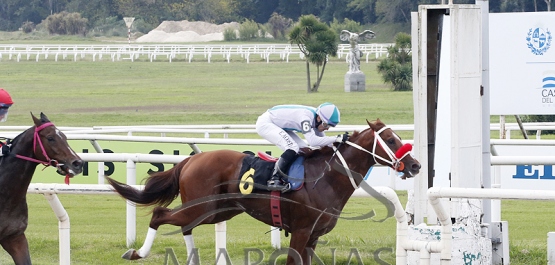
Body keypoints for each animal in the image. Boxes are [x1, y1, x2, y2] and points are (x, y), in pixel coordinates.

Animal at [107, 118, 422, 262]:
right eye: (391, 140)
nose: (416, 165)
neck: (327, 177)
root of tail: (191, 159)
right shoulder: (302, 231)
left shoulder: (314, 237)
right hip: (202, 206)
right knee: (160, 214)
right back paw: (136, 253)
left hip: (217, 211)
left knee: (184, 226)